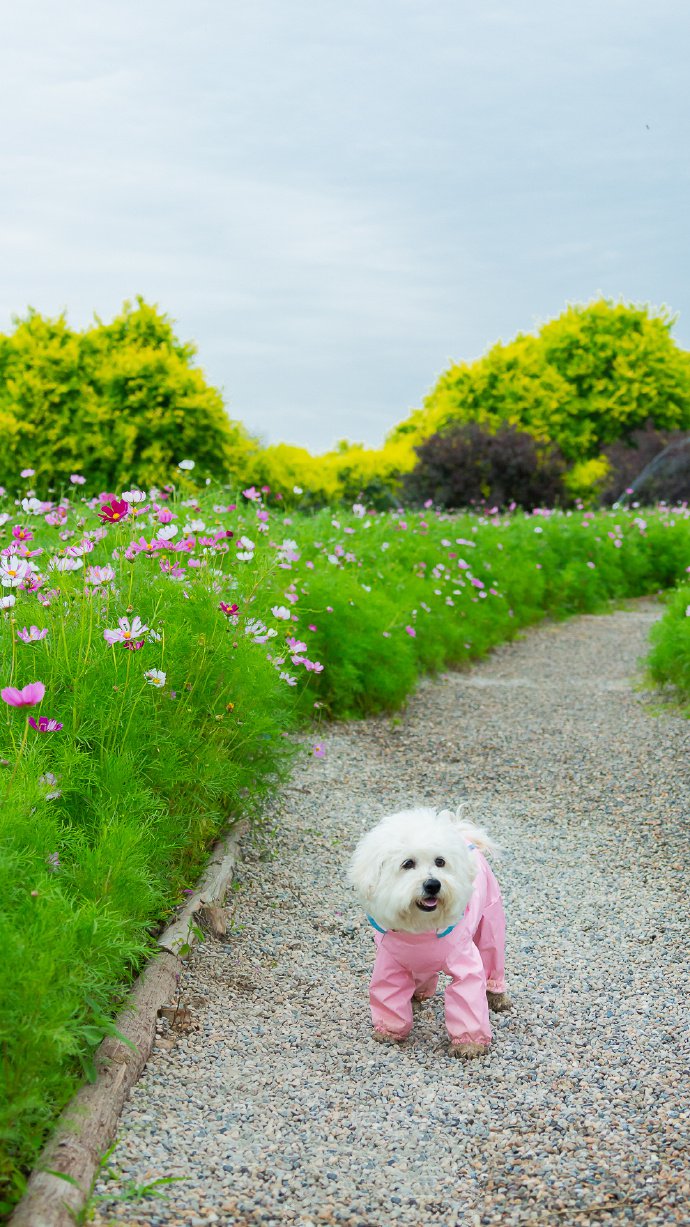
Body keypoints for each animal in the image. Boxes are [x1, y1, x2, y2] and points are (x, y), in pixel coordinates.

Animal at [346, 804, 508, 1055]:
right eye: (407, 864)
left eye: (440, 862)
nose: (433, 884)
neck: (420, 932)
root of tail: (462, 833)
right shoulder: (389, 964)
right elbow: (388, 995)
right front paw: (388, 1032)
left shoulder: (465, 963)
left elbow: (468, 998)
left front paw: (470, 1044)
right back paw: (415, 996)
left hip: (491, 920)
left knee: (492, 956)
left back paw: (496, 995)